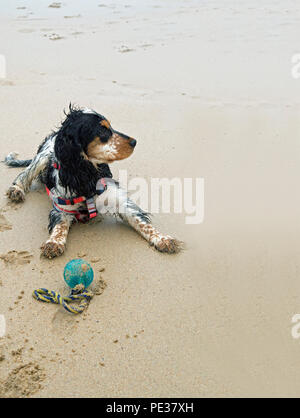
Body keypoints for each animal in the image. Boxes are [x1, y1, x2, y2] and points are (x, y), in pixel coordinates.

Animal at [4, 104, 182, 258]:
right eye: (103, 130)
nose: (134, 142)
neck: (86, 174)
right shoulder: (62, 207)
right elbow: (60, 225)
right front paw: (54, 242)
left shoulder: (120, 200)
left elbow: (142, 223)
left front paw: (163, 239)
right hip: (43, 157)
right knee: (24, 174)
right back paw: (16, 190)